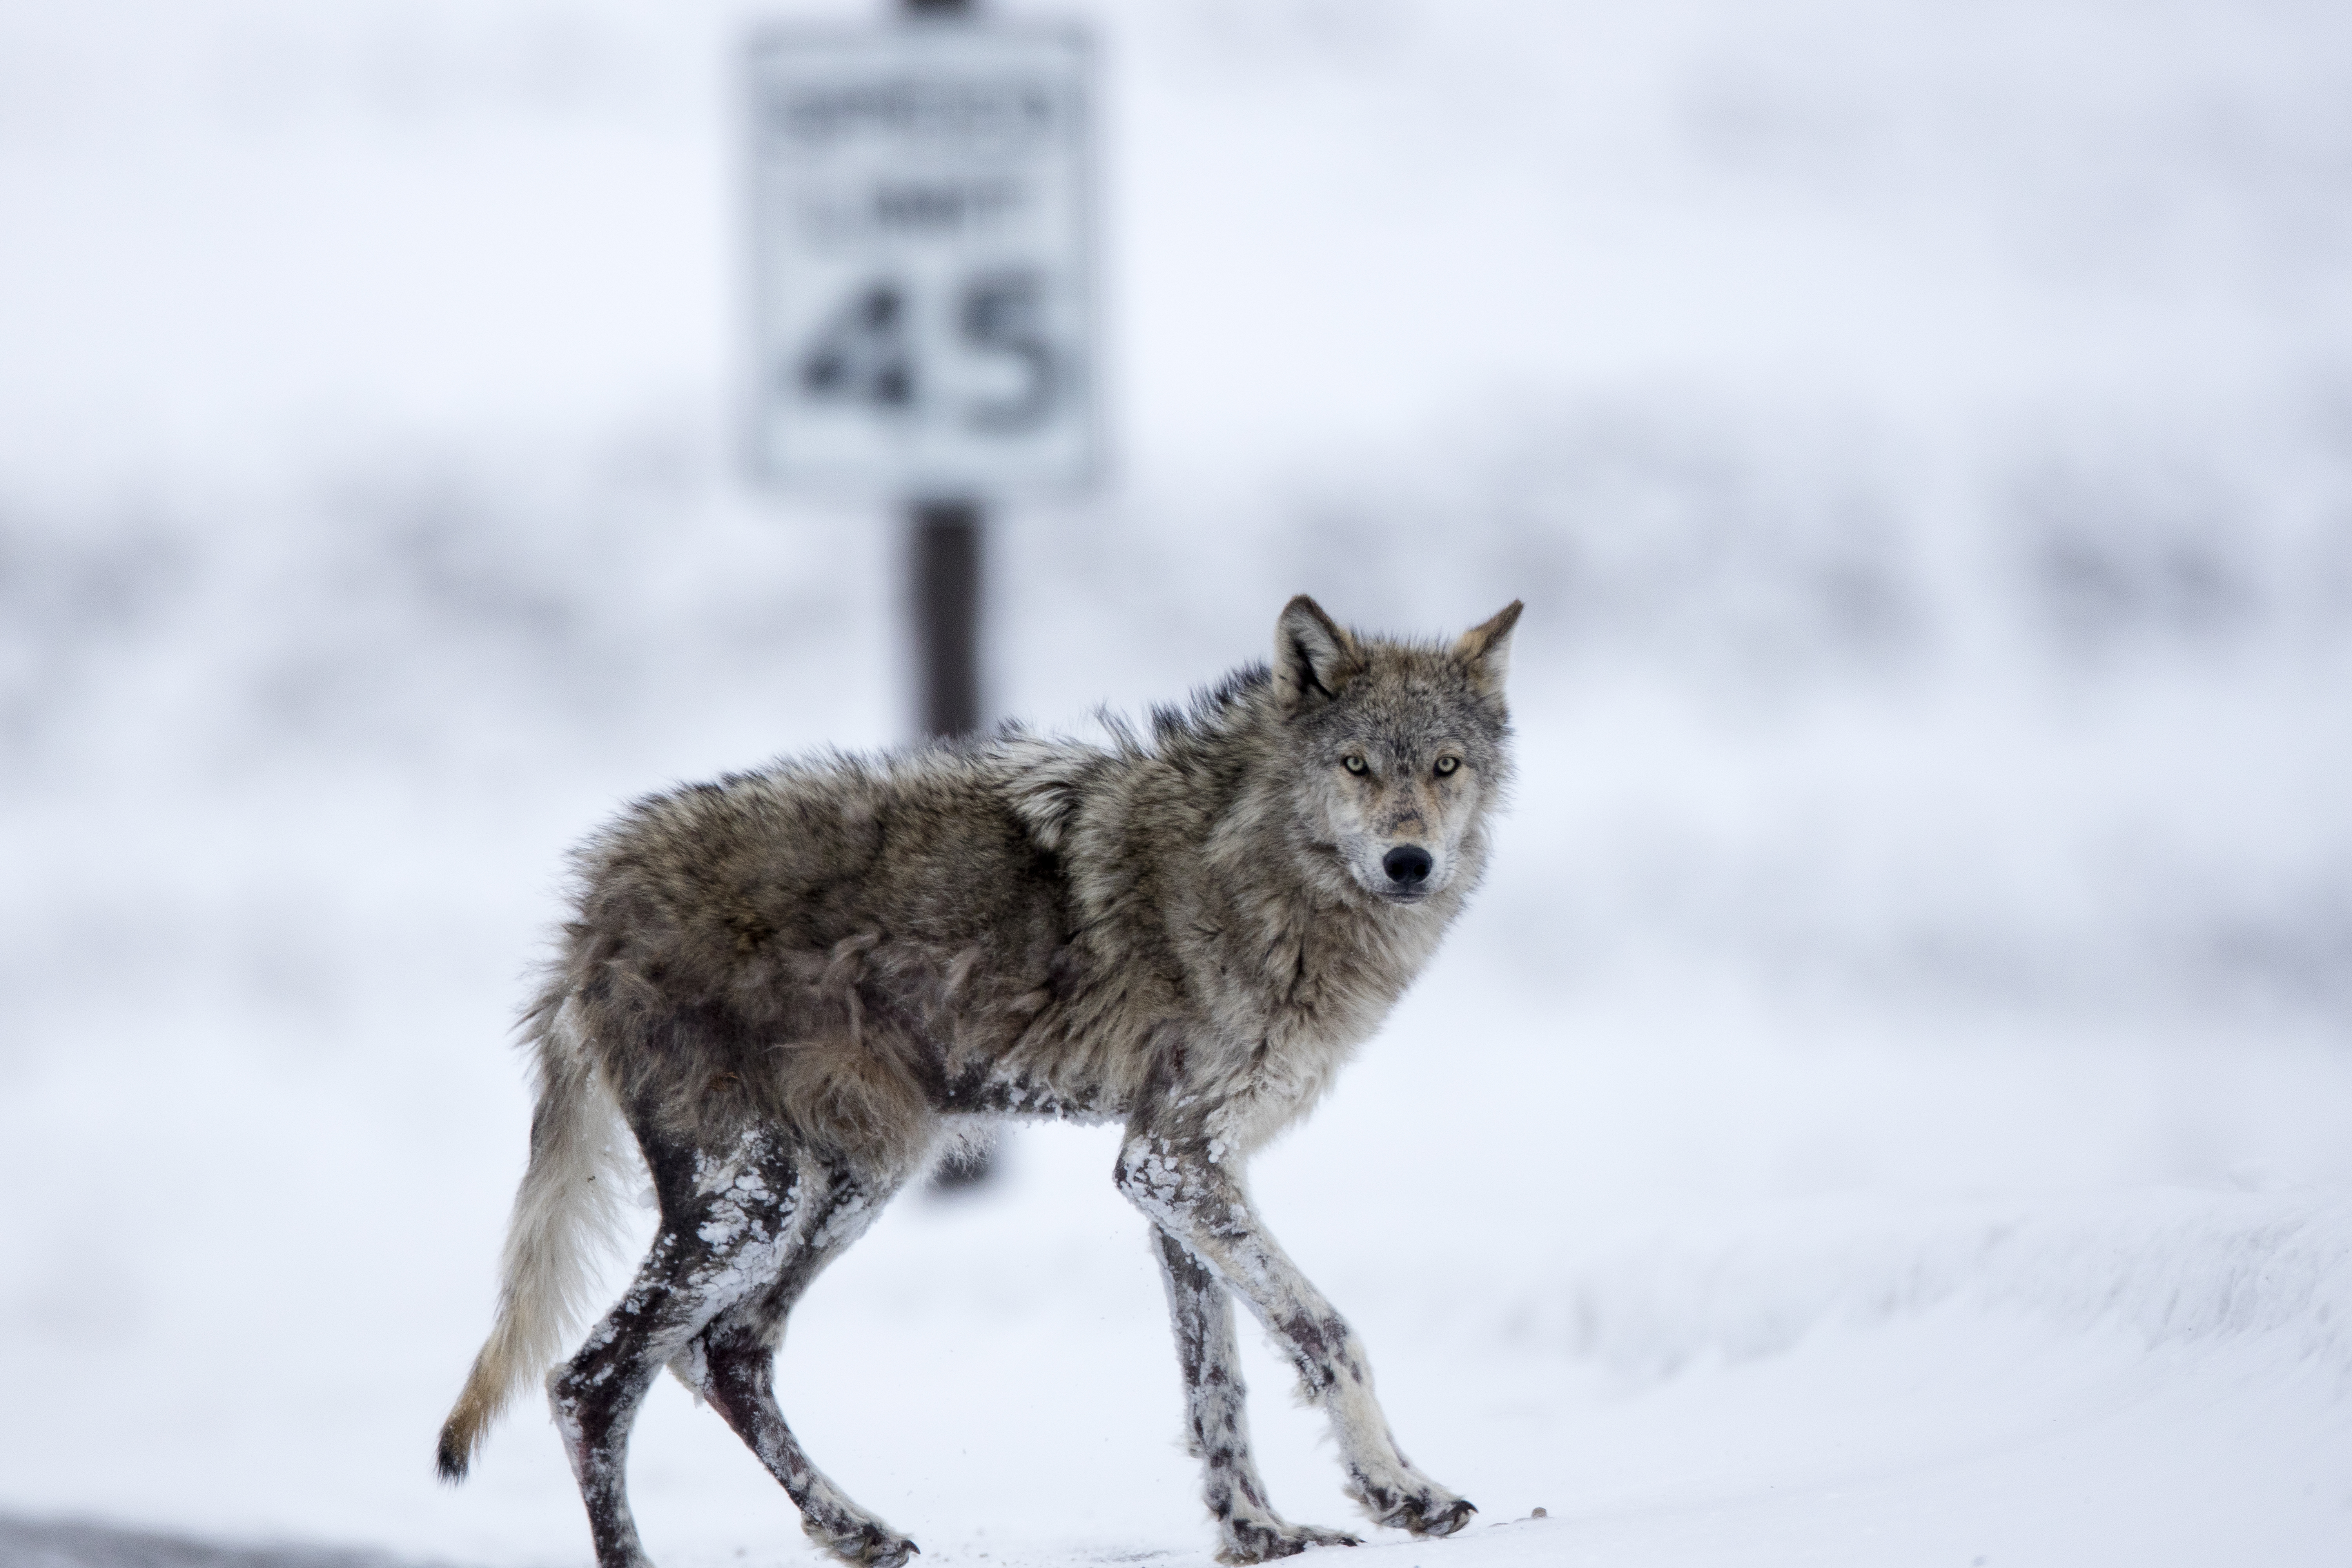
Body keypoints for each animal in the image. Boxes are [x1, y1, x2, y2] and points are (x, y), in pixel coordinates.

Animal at [434, 594, 1522, 1567]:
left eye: (1445, 765)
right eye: (1356, 764)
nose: (1410, 860)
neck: (1255, 866)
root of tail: (595, 901)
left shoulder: (1178, 1171)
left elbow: (1217, 1378)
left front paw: (1258, 1532)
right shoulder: (1172, 1164)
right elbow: (1325, 1329)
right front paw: (1401, 1490)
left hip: (856, 1174)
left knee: (726, 1350)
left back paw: (855, 1528)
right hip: (756, 1194)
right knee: (595, 1379)